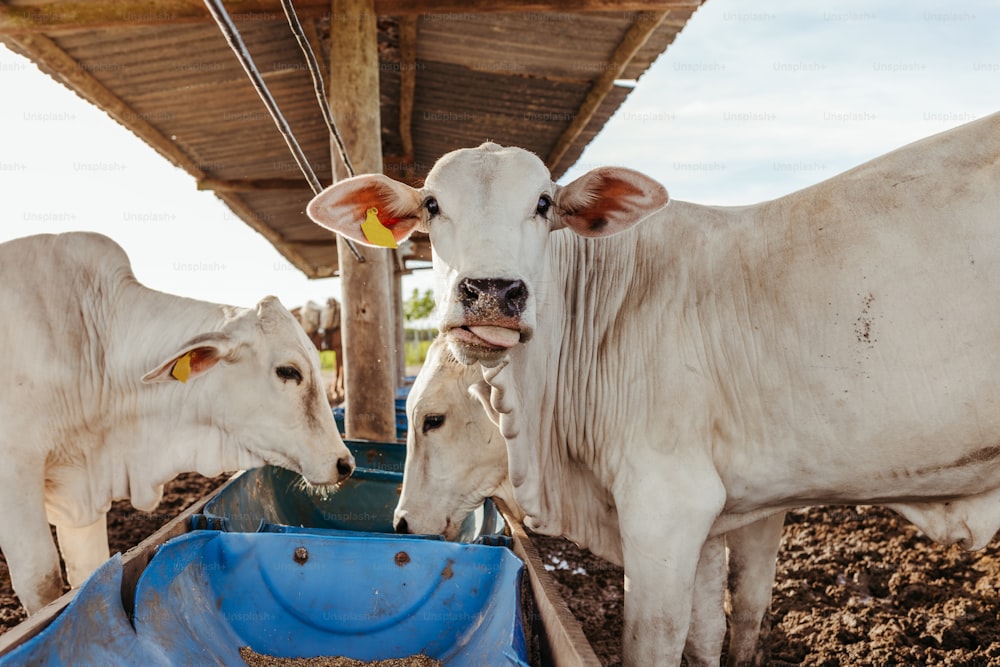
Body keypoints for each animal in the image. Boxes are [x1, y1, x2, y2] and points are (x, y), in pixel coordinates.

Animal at [394, 340, 784, 667]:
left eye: (433, 420)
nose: (400, 523)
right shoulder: (714, 526)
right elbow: (710, 631)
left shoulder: (672, 510)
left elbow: (656, 642)